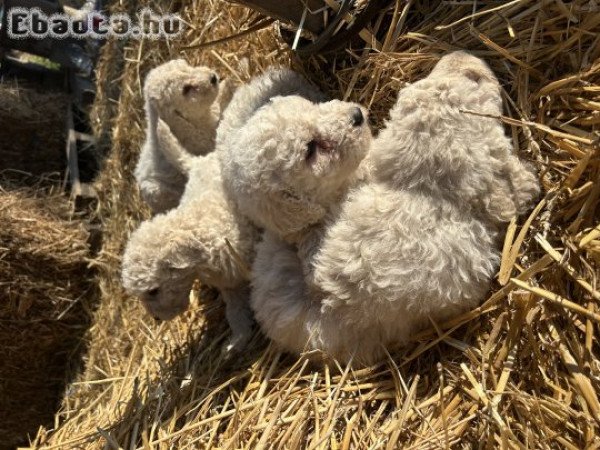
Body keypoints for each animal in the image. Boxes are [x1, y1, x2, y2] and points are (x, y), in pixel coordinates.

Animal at [134, 59, 234, 214]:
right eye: (186, 89)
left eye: (188, 67)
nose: (212, 78)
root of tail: (138, 176)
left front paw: (226, 85)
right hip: (157, 192)